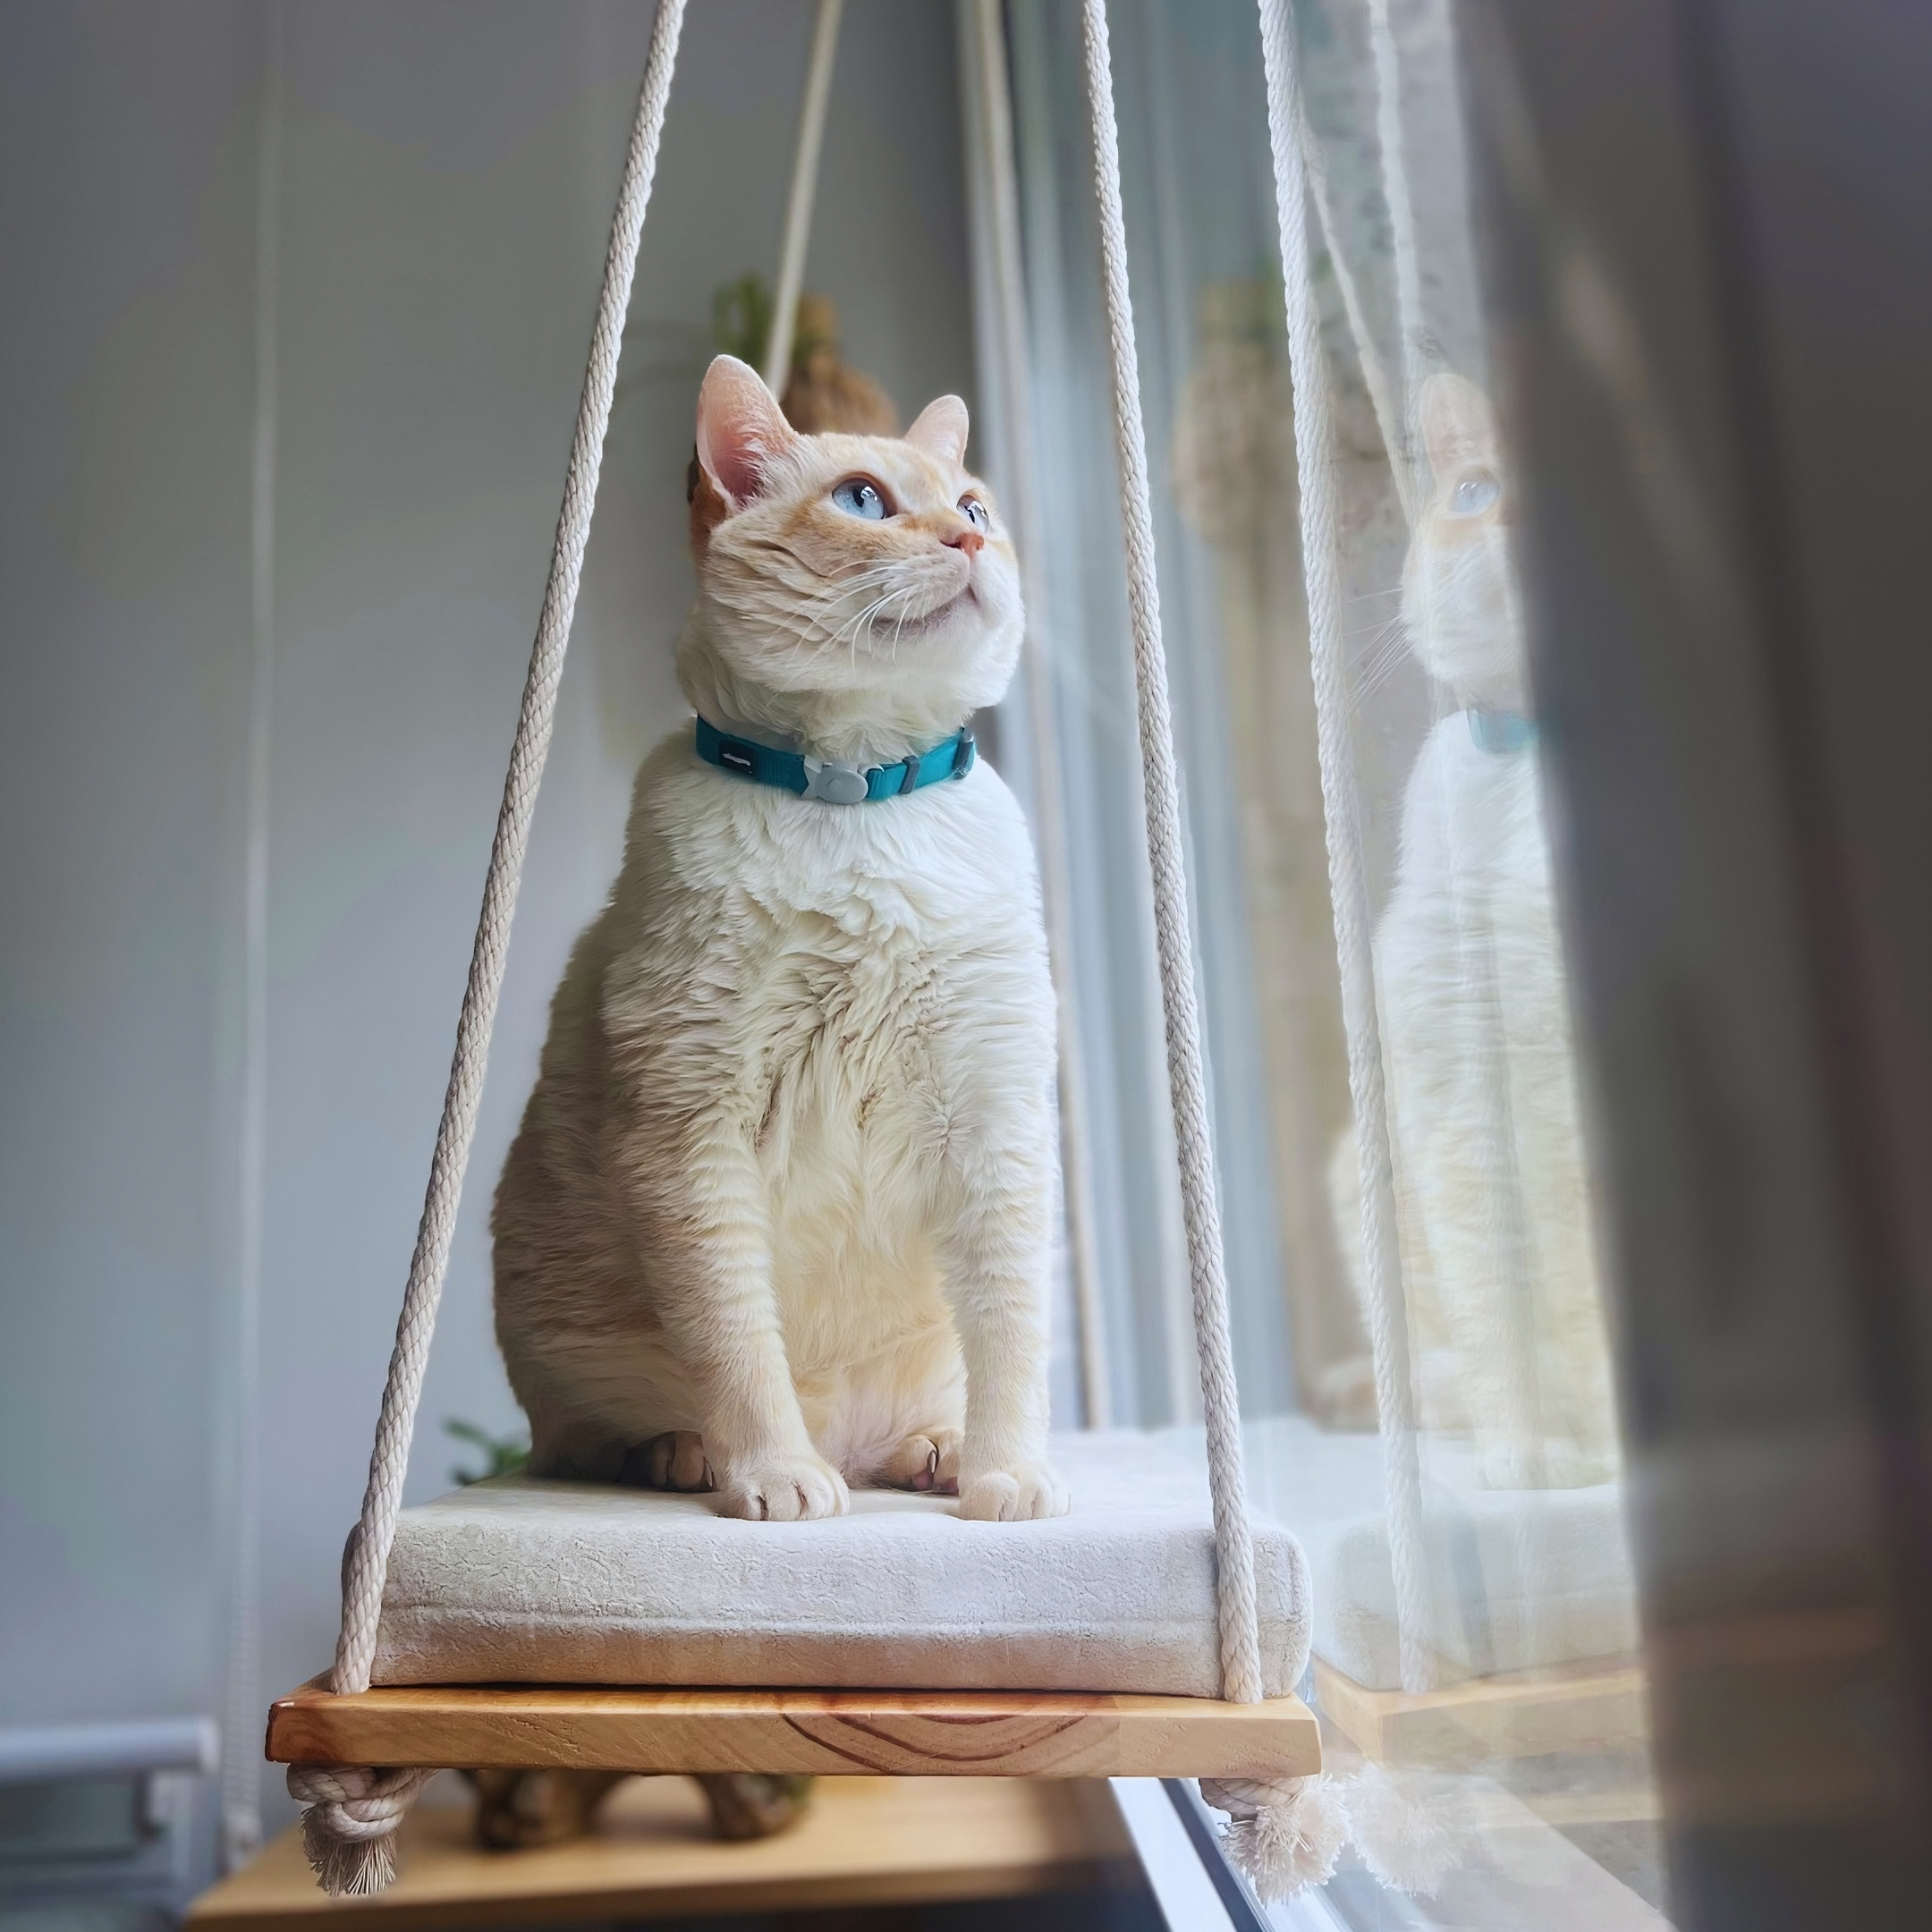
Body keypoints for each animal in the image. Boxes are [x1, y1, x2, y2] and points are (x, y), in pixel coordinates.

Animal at [494, 355, 1073, 1514]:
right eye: (864, 502)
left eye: (974, 507)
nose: (970, 542)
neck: (856, 801)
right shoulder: (690, 1132)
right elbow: (737, 1345)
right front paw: (778, 1483)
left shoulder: (997, 1121)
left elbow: (1010, 1339)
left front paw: (1010, 1482)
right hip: (558, 1333)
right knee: (584, 1438)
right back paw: (695, 1457)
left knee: (922, 1411)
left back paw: (936, 1453)